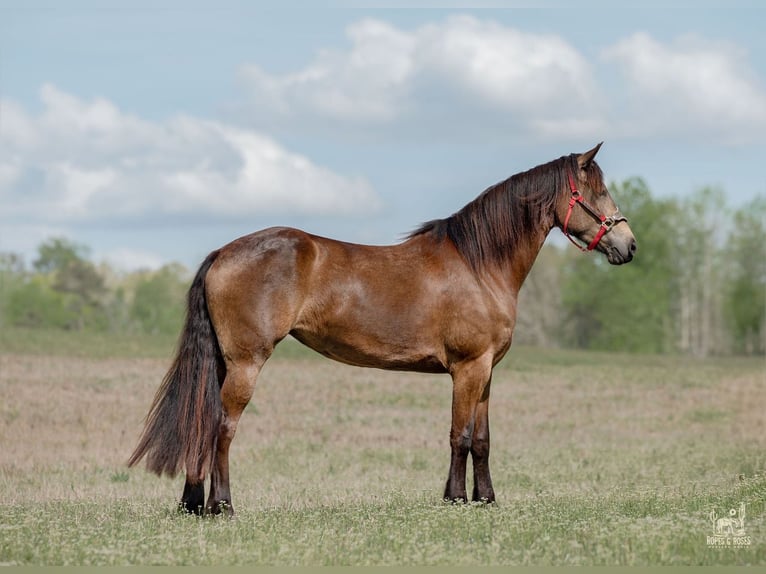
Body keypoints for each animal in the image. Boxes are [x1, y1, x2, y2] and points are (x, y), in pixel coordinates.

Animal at [128, 142, 636, 515]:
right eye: (595, 193)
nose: (628, 245)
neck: (479, 264)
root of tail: (224, 252)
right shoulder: (468, 368)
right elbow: (460, 435)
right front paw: (456, 499)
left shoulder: (487, 371)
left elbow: (483, 439)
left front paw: (486, 499)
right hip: (245, 364)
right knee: (222, 426)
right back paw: (222, 506)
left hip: (222, 362)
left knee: (200, 421)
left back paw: (194, 504)